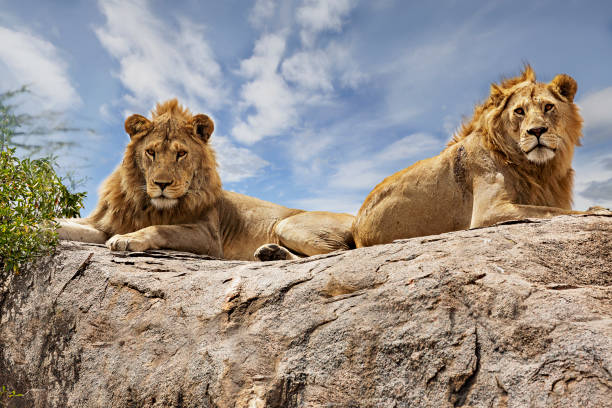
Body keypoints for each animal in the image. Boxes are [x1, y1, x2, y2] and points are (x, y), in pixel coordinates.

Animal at [58, 98, 354, 262]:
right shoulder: (104, 224)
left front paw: (127, 239)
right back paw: (272, 253)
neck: (145, 202)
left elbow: (160, 229)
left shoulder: (209, 237)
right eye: (151, 152)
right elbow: (66, 225)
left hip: (288, 224)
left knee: (338, 251)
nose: (162, 184)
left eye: (181, 154)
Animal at [352, 66, 608, 249]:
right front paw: (600, 210)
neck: (538, 170)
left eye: (548, 107)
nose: (536, 131)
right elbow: (555, 212)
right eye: (519, 111)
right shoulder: (489, 211)